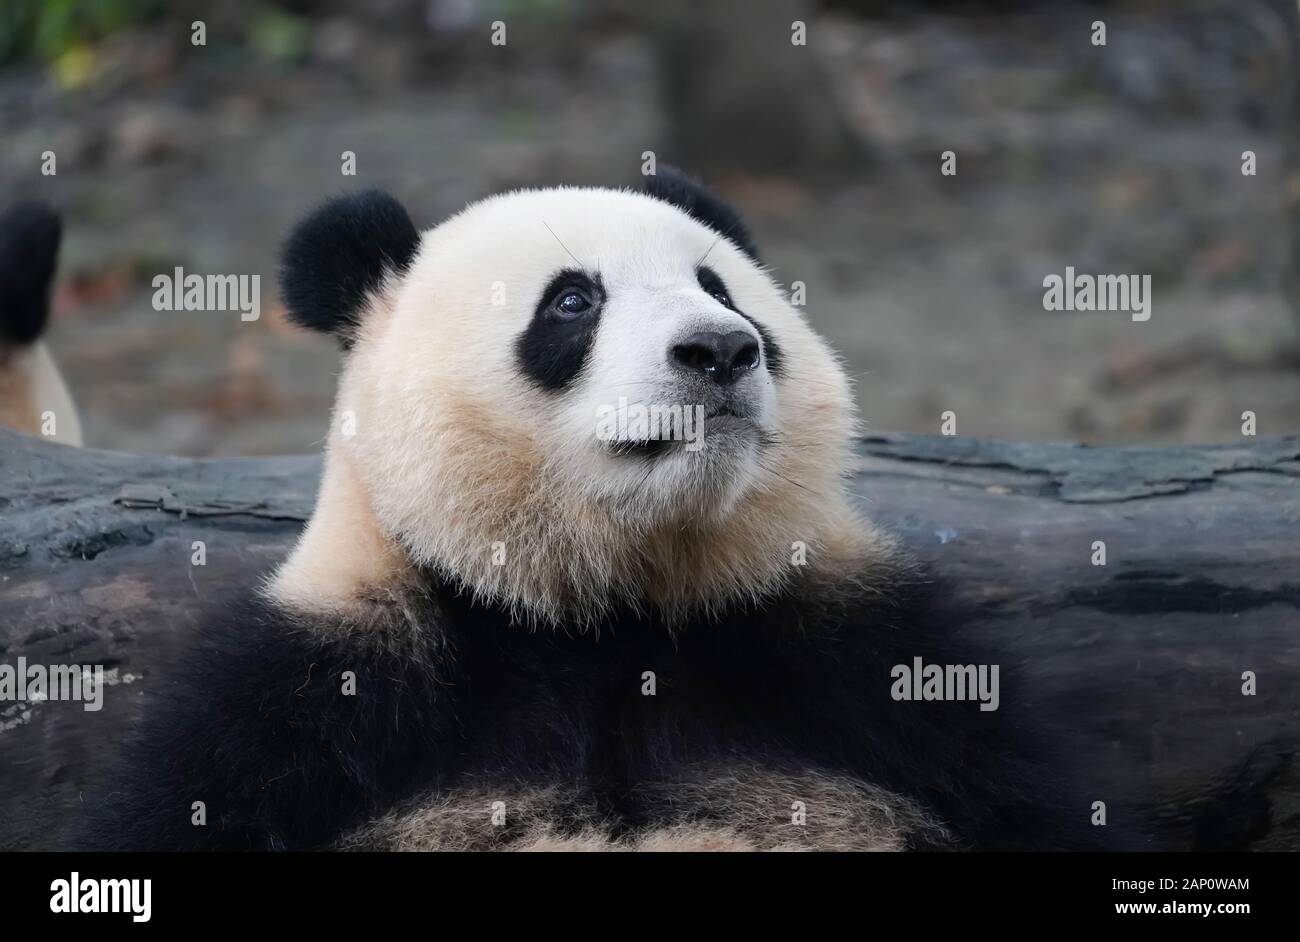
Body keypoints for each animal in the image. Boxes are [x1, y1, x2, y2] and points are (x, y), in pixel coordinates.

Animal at [73, 168, 1118, 852]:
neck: (606, 608)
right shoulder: (319, 695)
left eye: (721, 289)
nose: (720, 352)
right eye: (573, 302)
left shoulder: (866, 666)